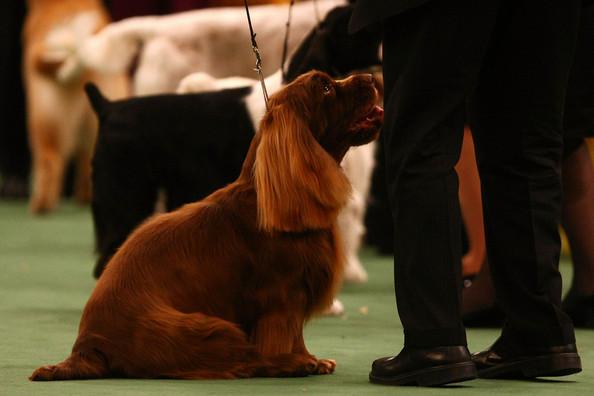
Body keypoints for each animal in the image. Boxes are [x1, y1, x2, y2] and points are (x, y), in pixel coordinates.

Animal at [30, 71, 382, 380]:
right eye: (325, 87)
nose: (371, 77)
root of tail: (88, 347)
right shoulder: (281, 297)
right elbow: (282, 335)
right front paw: (299, 360)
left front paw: (312, 358)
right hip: (210, 327)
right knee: (246, 361)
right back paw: (287, 366)